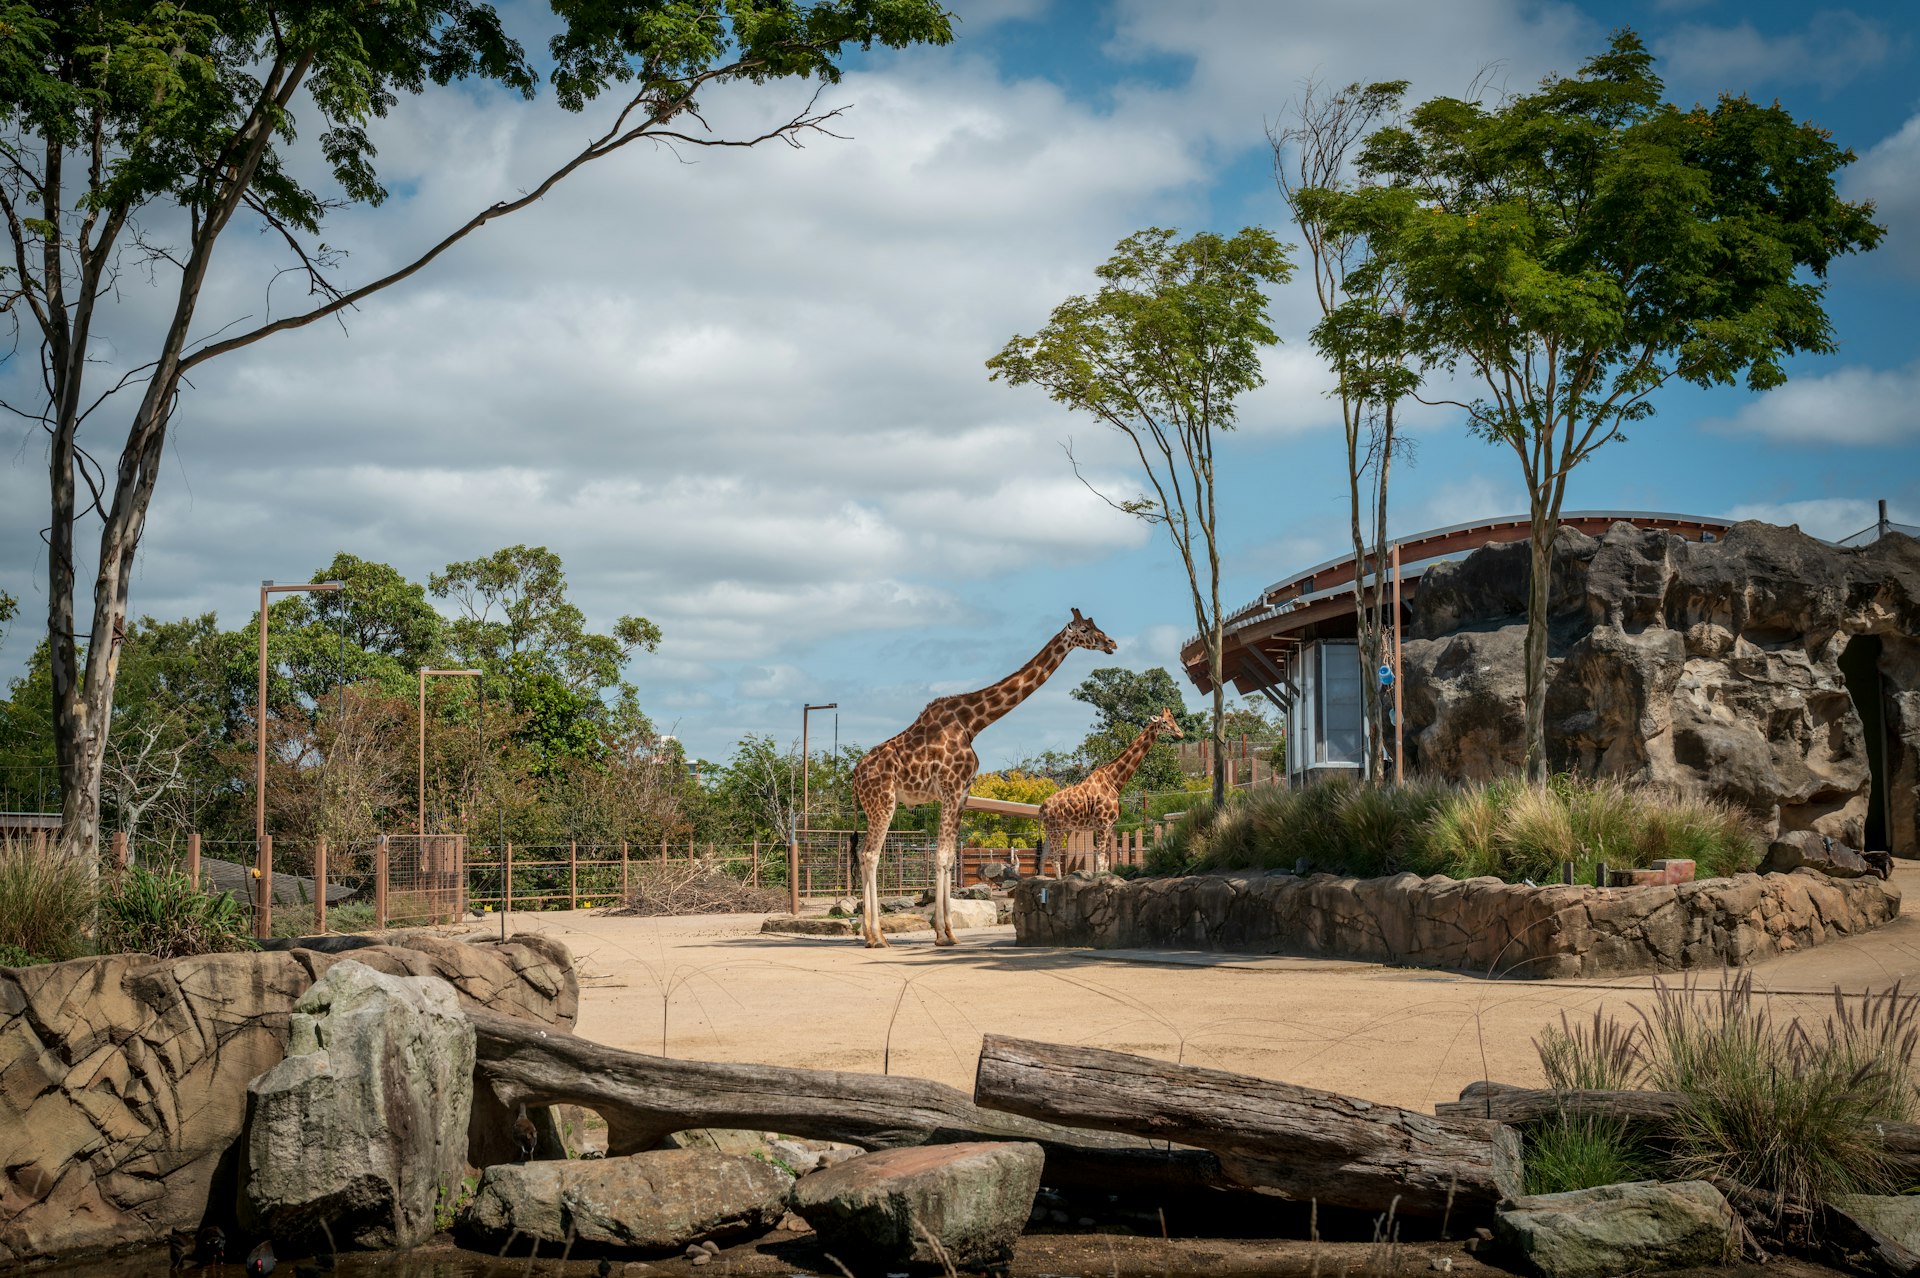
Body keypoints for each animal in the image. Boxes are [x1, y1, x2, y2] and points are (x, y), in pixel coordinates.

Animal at [850, 608, 1116, 948]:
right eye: (1085, 630)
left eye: (1096, 626)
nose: (1111, 643)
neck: (974, 722)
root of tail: (855, 776)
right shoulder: (951, 787)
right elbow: (942, 856)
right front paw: (944, 933)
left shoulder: (962, 792)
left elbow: (950, 858)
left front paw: (946, 933)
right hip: (883, 801)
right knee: (870, 854)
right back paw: (877, 937)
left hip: (876, 806)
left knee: (863, 853)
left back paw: (869, 934)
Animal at [1039, 707, 1184, 875]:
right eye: (1165, 721)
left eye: (1173, 719)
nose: (1180, 734)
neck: (1114, 782)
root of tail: (1041, 808)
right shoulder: (1102, 824)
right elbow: (1100, 860)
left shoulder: (1110, 826)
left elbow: (1106, 862)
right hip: (1055, 829)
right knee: (1054, 859)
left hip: (1051, 830)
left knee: (1043, 858)